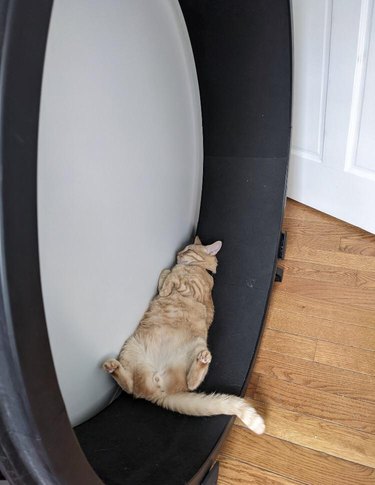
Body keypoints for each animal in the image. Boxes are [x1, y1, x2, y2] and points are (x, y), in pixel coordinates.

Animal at [104, 236, 266, 432]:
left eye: (188, 249)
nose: (178, 253)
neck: (196, 267)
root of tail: (161, 394)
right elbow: (166, 273)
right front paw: (166, 283)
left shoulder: (193, 289)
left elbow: (172, 277)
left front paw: (168, 285)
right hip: (130, 347)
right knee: (130, 386)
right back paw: (113, 367)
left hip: (197, 345)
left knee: (190, 383)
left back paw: (202, 360)